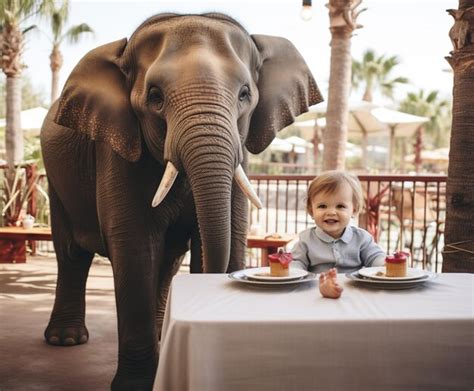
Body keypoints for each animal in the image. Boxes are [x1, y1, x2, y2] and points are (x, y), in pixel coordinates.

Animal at [41, 12, 322, 391]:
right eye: (155, 96)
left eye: (245, 94)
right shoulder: (118, 149)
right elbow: (134, 247)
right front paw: (134, 386)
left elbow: (225, 237)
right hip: (57, 180)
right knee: (72, 253)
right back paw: (66, 339)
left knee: (167, 262)